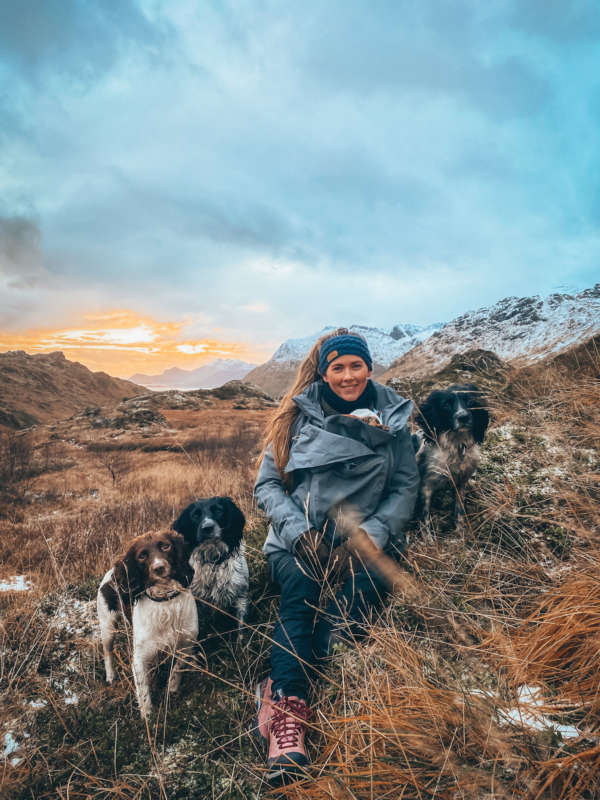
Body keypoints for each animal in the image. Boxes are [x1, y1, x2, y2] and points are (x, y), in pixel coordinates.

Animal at [96, 532, 197, 720]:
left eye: (165, 546)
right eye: (142, 556)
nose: (159, 568)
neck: (165, 602)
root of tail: (111, 572)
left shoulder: (186, 643)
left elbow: (177, 669)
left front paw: (171, 690)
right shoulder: (140, 658)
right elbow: (143, 691)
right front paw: (147, 716)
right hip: (108, 627)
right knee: (108, 652)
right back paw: (111, 676)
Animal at [172, 494, 250, 632]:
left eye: (218, 510)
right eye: (195, 515)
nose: (207, 528)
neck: (214, 560)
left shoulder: (241, 596)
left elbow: (241, 630)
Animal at [414, 384, 490, 540]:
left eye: (469, 401)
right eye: (446, 404)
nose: (463, 417)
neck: (456, 446)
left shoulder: (461, 482)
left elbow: (459, 510)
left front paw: (460, 533)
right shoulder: (425, 486)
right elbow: (425, 517)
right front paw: (428, 540)